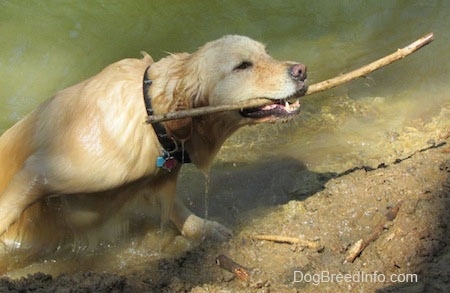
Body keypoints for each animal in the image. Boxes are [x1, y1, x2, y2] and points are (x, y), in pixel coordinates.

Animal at [0, 35, 306, 266]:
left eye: (267, 53)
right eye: (242, 65)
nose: (302, 70)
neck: (151, 116)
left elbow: (174, 207)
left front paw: (202, 228)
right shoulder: (39, 171)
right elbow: (8, 210)